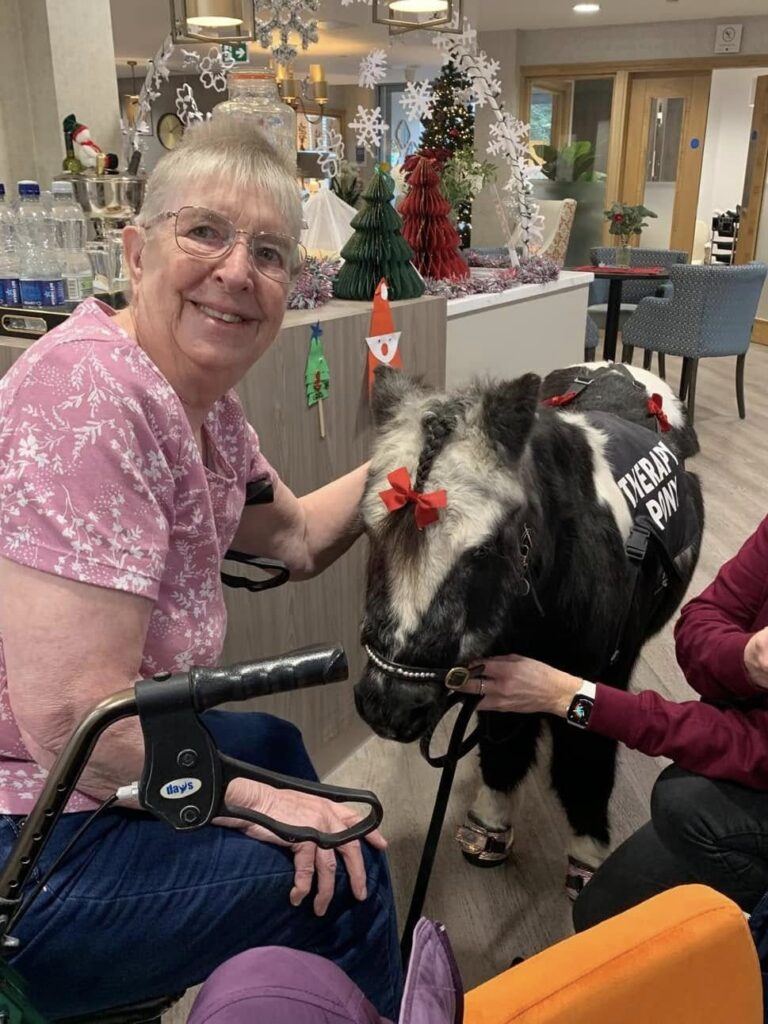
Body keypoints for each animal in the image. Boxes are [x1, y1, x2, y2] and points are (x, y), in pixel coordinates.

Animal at [358, 364, 708, 892]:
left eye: (484, 549)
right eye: (368, 531)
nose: (388, 707)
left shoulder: (595, 680)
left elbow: (585, 761)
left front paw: (588, 854)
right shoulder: (497, 680)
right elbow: (504, 745)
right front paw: (489, 828)